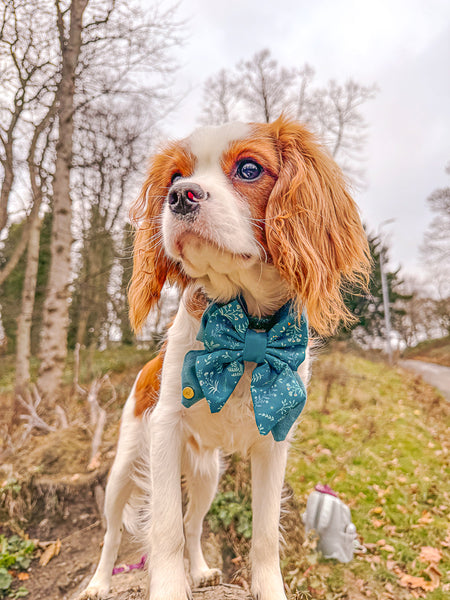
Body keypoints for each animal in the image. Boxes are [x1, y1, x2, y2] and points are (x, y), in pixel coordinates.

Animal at [80, 113, 370, 600]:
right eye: (175, 177)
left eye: (250, 169)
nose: (180, 195)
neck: (247, 329)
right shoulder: (165, 428)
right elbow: (164, 531)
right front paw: (169, 588)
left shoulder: (274, 442)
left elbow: (264, 535)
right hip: (125, 466)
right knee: (113, 534)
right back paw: (99, 582)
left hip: (206, 475)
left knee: (194, 524)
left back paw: (200, 571)